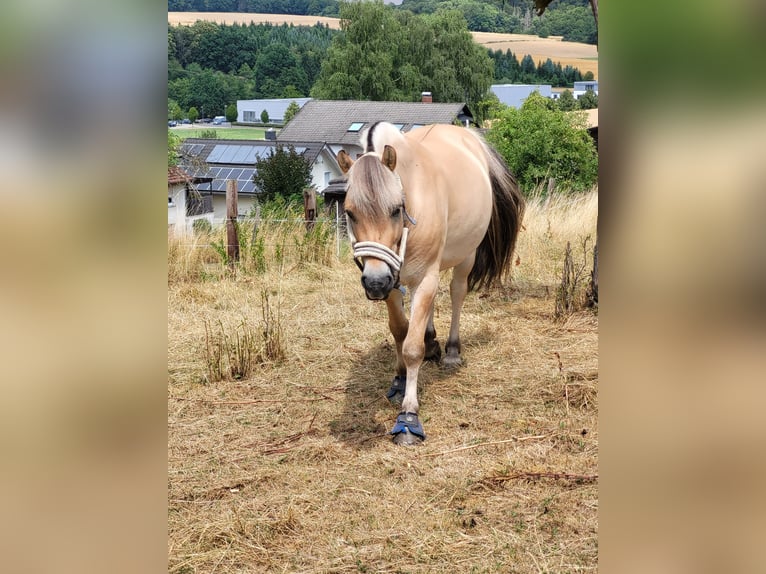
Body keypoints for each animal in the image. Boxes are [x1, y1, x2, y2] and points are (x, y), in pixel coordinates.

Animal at [340, 120, 524, 446]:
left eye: (396, 209)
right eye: (350, 212)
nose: (374, 282)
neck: (413, 194)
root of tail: (468, 136)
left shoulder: (424, 275)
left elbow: (412, 347)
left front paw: (408, 417)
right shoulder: (392, 280)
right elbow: (399, 330)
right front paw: (400, 378)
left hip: (465, 256)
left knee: (456, 294)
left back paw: (450, 350)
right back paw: (432, 341)